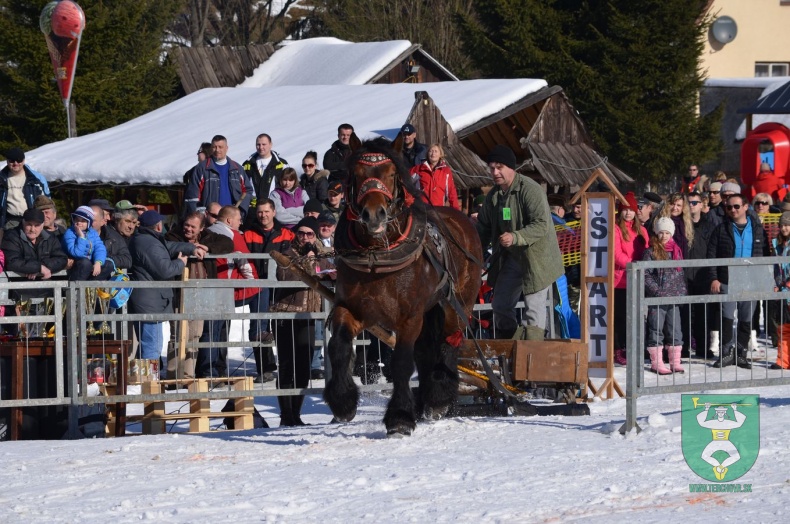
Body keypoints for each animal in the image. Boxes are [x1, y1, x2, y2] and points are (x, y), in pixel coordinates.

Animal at [324, 136, 486, 438]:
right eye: (357, 174)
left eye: (391, 174)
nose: (373, 214)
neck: (376, 257)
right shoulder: (351, 308)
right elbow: (338, 346)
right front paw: (342, 402)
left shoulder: (409, 318)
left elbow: (400, 363)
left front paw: (400, 417)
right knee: (425, 352)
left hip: (458, 303)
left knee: (449, 342)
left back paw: (438, 398)